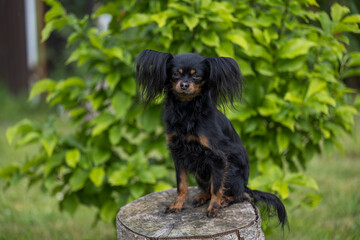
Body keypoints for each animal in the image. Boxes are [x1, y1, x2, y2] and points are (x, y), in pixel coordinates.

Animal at [135, 49, 286, 229]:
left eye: (197, 76)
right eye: (175, 74)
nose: (184, 85)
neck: (186, 110)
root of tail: (245, 184)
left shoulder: (218, 158)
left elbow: (217, 187)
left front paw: (213, 208)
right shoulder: (178, 154)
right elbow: (182, 185)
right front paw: (177, 205)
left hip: (232, 173)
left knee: (242, 195)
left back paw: (224, 201)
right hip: (200, 173)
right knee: (210, 189)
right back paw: (201, 198)